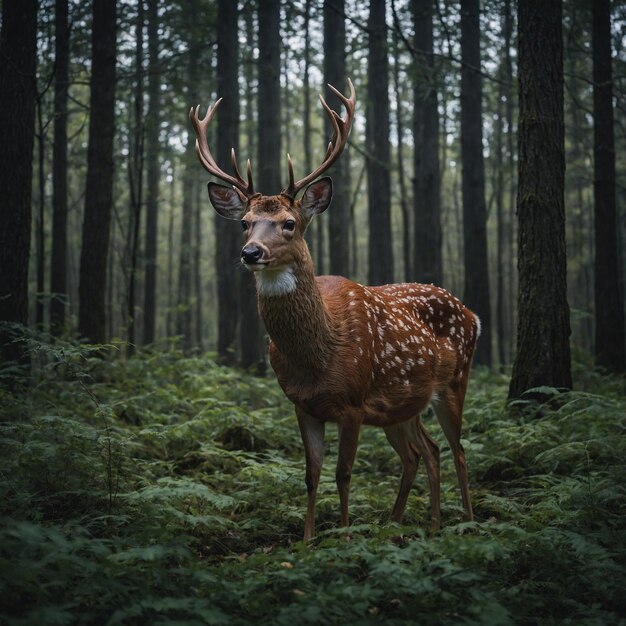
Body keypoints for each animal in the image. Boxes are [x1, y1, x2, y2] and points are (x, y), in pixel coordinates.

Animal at [188, 79, 480, 536]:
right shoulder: (302, 405)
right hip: (403, 404)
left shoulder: (353, 402)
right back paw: (412, 526)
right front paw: (309, 540)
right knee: (424, 452)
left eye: (289, 224)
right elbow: (311, 475)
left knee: (459, 450)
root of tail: (472, 314)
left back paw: (465, 523)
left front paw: (343, 536)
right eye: (245, 223)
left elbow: (343, 474)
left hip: (455, 382)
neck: (319, 355)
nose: (250, 253)